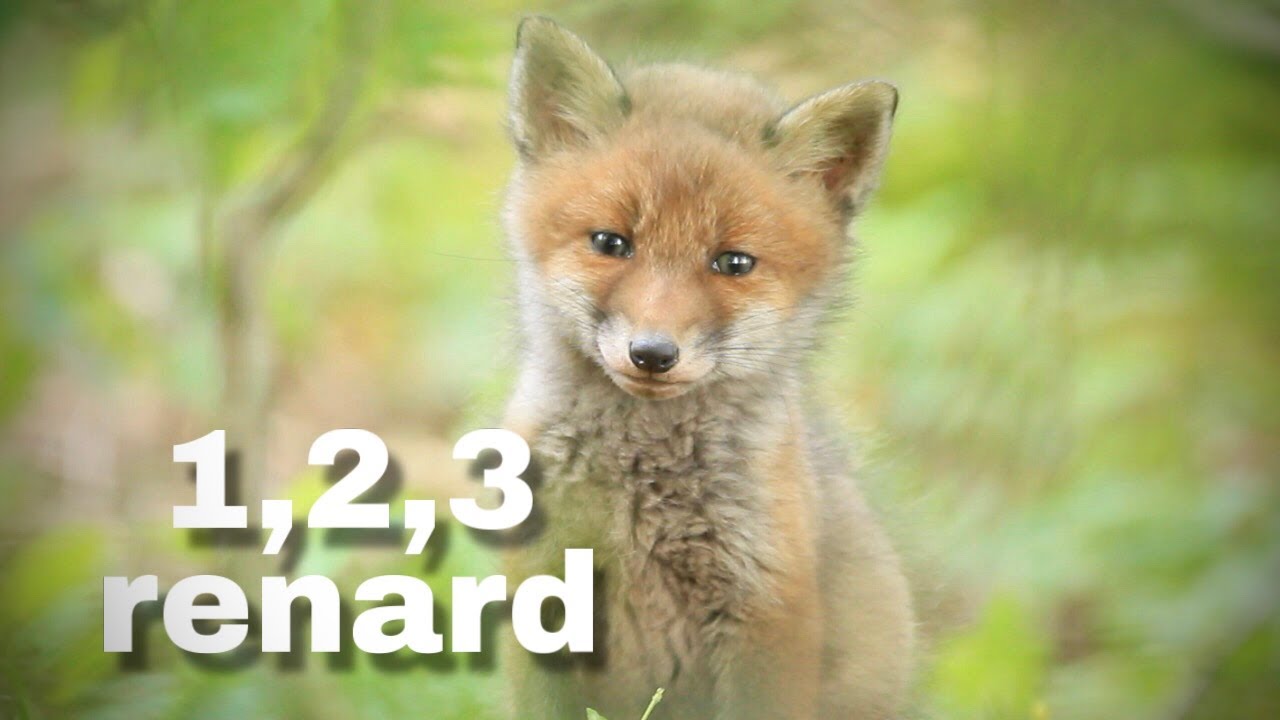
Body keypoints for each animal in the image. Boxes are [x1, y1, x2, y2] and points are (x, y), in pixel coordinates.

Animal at [497, 17, 915, 720]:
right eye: (611, 242)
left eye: (733, 263)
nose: (652, 354)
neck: (642, 484)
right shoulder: (540, 591)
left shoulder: (769, 614)